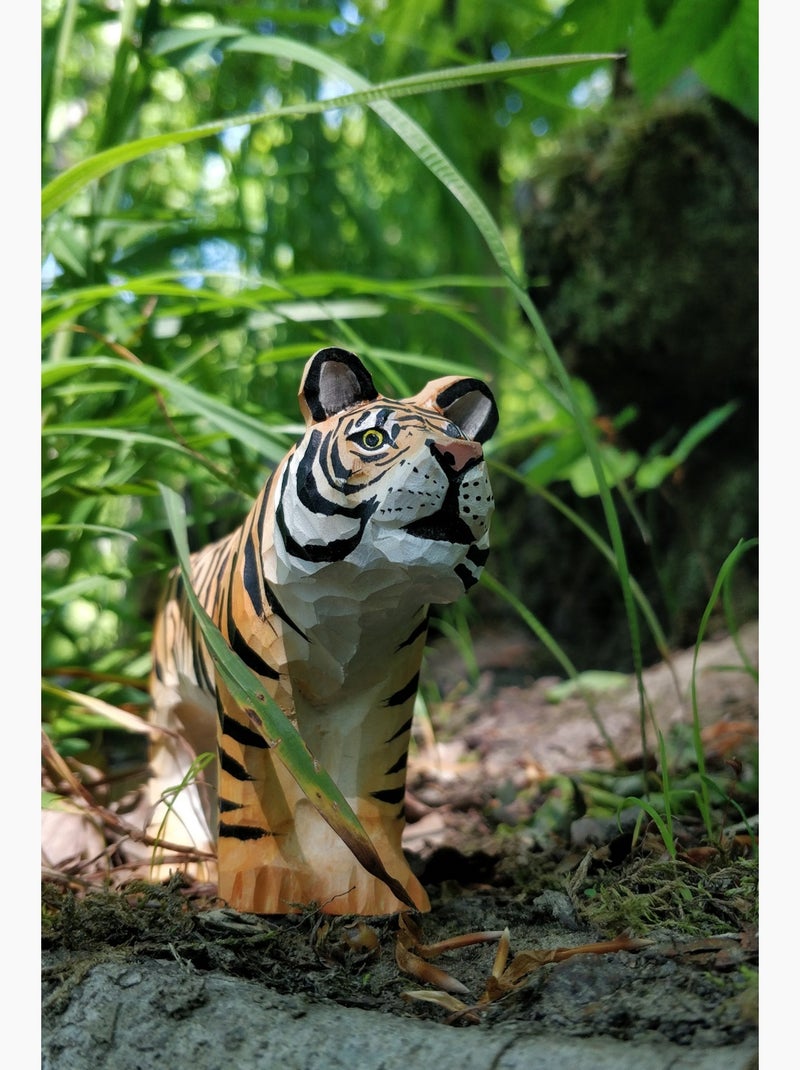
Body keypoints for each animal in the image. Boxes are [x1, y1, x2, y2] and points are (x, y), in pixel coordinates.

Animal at [146, 346, 498, 916]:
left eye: (468, 444)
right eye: (373, 440)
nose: (459, 455)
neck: (356, 592)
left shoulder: (384, 694)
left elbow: (371, 788)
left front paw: (378, 887)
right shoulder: (255, 691)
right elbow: (253, 792)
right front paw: (260, 884)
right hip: (167, 706)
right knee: (167, 763)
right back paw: (173, 863)